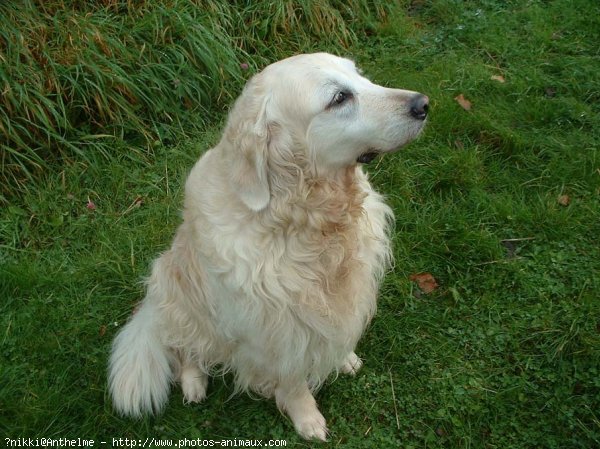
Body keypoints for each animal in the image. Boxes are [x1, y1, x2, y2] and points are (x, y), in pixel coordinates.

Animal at [108, 51, 426, 438]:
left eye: (361, 78)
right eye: (339, 98)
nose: (423, 104)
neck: (303, 220)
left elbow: (337, 333)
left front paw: (344, 358)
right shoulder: (273, 330)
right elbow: (292, 380)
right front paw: (307, 418)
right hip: (176, 293)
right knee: (186, 349)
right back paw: (194, 382)